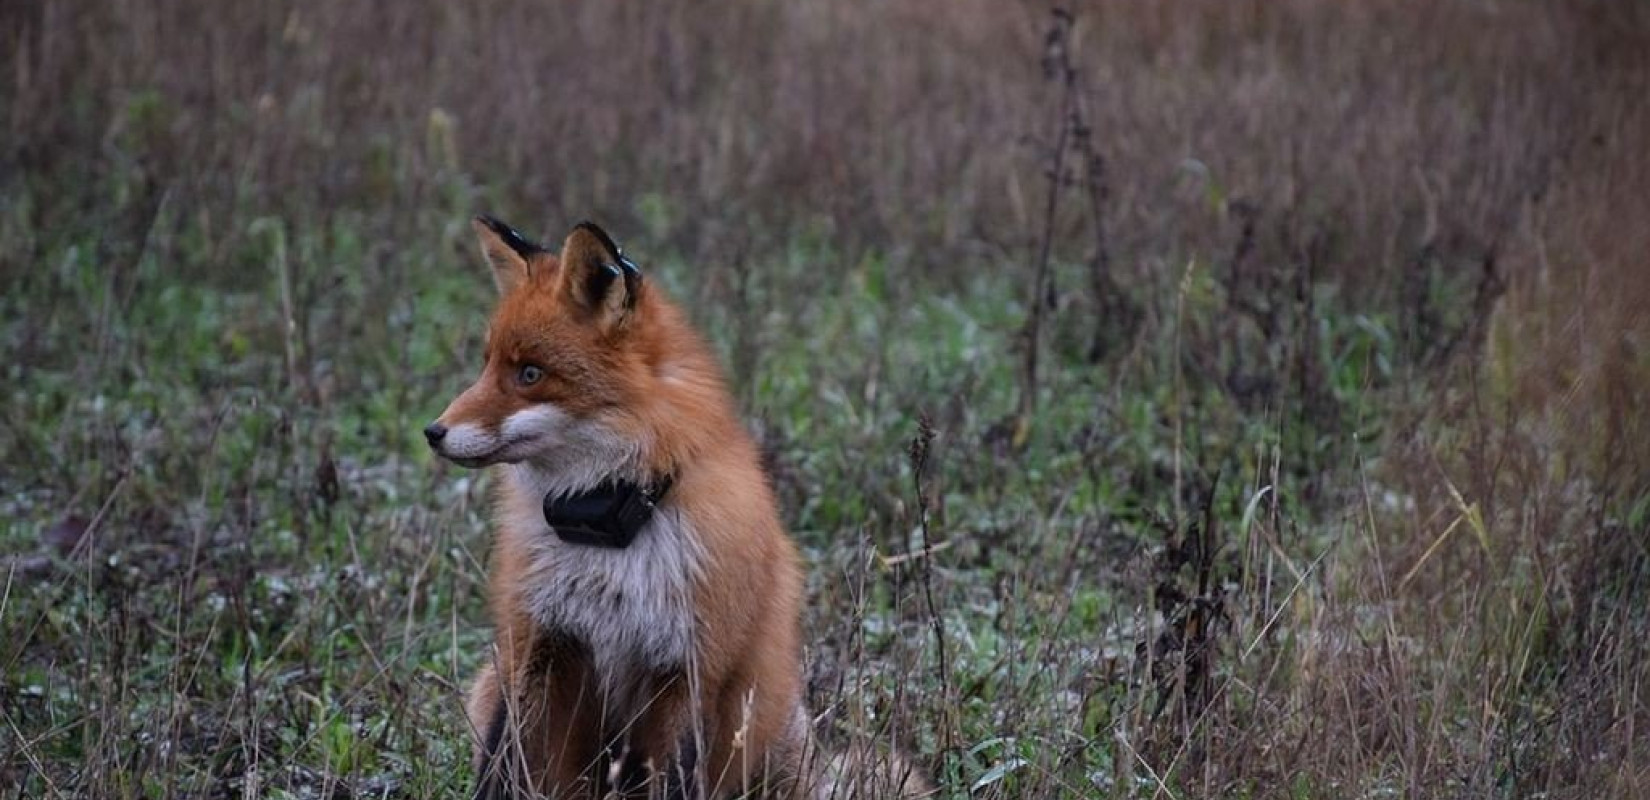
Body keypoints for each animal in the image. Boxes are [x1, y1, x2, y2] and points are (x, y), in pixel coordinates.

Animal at [425, 214, 937, 798]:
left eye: (530, 374)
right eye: (486, 365)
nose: (433, 433)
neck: (609, 535)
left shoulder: (688, 671)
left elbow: (672, 777)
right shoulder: (535, 647)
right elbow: (500, 763)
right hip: (490, 682)